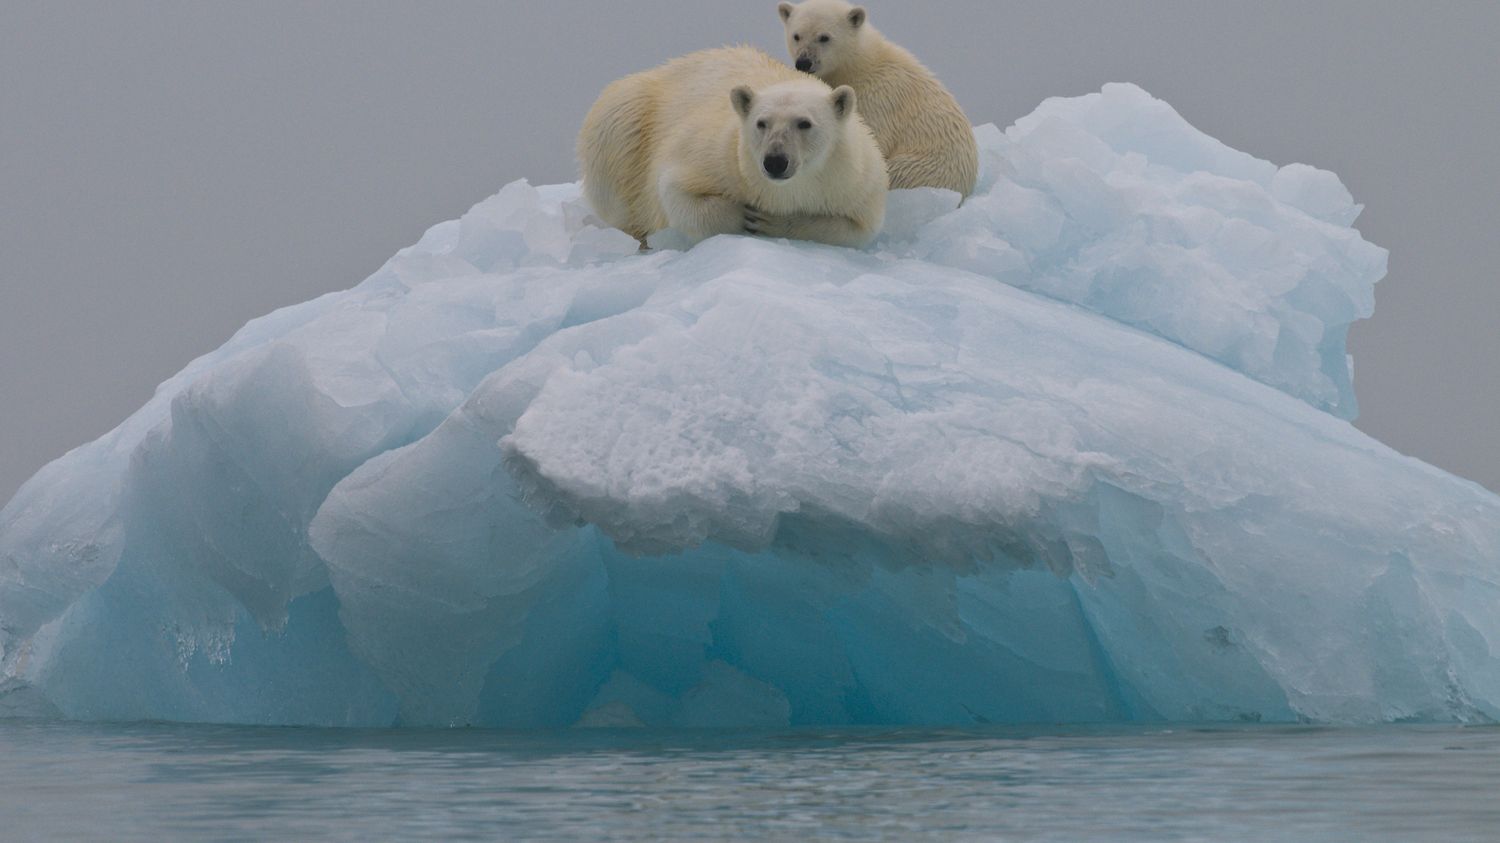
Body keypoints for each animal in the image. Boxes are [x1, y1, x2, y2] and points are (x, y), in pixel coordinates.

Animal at [582, 46, 888, 247]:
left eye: (804, 123)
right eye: (762, 123)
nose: (775, 161)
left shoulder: (853, 182)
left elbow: (855, 230)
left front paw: (771, 221)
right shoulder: (721, 157)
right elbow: (675, 190)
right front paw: (745, 216)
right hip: (625, 118)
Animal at [780, 0, 978, 196]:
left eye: (824, 37)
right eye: (796, 36)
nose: (804, 62)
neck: (859, 66)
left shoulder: (879, 98)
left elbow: (873, 138)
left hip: (920, 169)